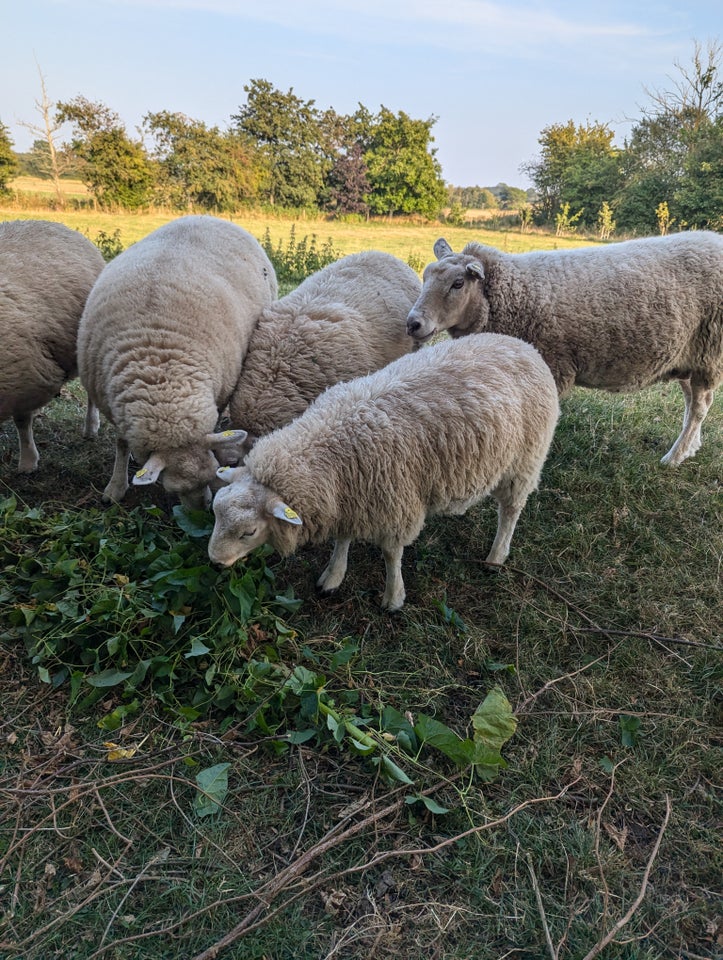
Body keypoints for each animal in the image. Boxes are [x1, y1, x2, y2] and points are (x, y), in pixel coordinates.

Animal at [78, 214, 278, 506]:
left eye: (210, 475)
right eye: (175, 489)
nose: (203, 507)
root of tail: (206, 216)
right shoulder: (117, 407)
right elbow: (121, 444)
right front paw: (115, 487)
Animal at [208, 334, 560, 612]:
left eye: (249, 532)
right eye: (214, 513)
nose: (214, 562)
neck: (328, 447)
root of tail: (522, 345)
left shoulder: (395, 505)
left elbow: (392, 556)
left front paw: (393, 598)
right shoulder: (349, 499)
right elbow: (342, 539)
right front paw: (333, 575)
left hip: (525, 461)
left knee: (511, 510)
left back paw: (496, 555)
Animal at [408, 232, 723, 464]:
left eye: (458, 283)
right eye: (425, 277)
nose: (413, 323)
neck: (512, 294)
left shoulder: (551, 366)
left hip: (711, 353)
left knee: (699, 408)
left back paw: (674, 457)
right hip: (688, 357)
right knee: (693, 403)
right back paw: (690, 446)